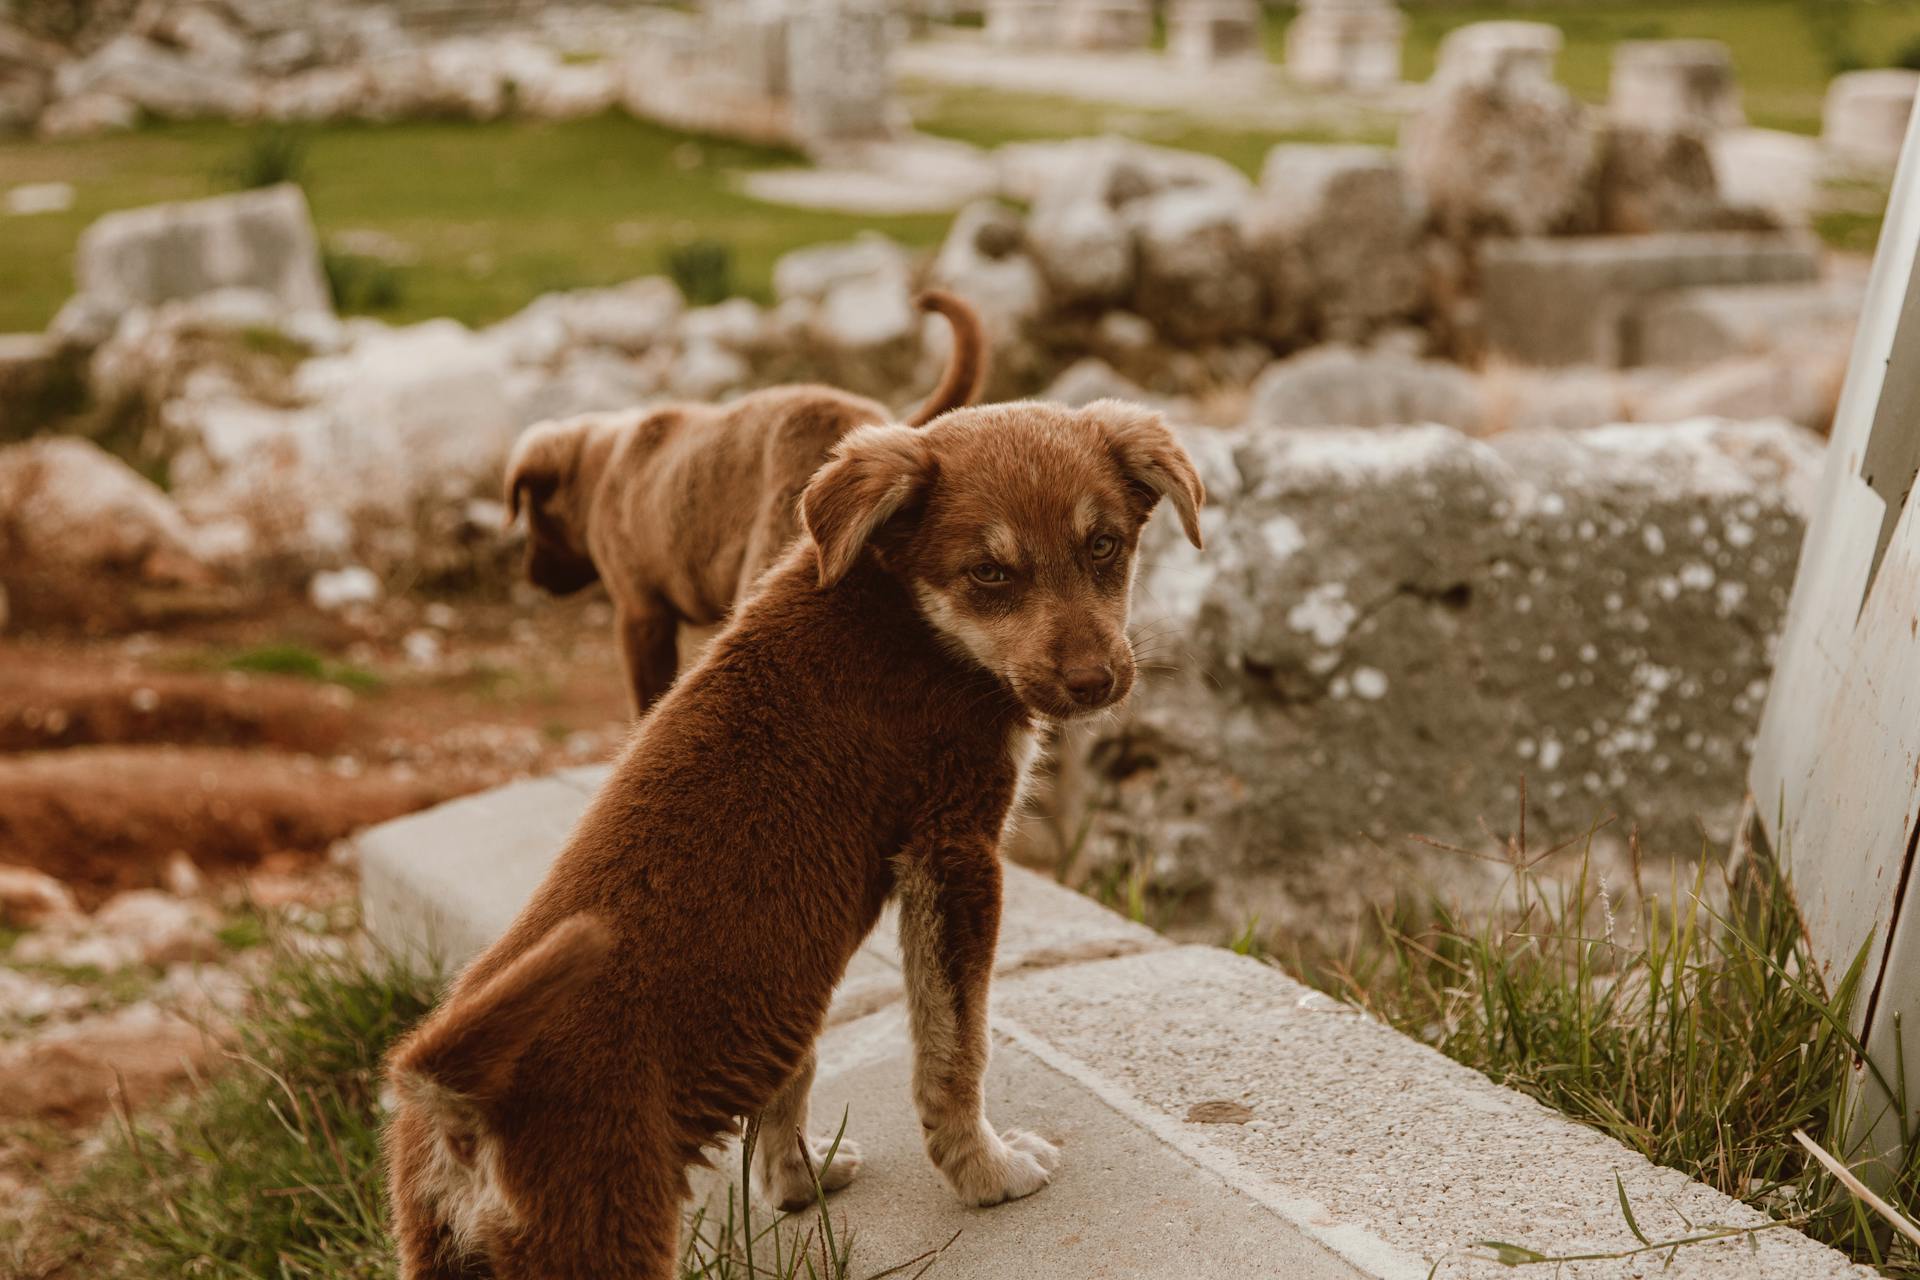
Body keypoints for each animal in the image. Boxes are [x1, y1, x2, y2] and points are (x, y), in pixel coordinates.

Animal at [384, 401, 1205, 1280]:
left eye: (1104, 545)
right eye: (988, 574)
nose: (1095, 685)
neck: (901, 608)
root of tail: (456, 1104)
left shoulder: (793, 989)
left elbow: (793, 1077)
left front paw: (796, 1185)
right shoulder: (954, 849)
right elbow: (953, 1051)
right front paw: (987, 1175)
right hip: (601, 1236)